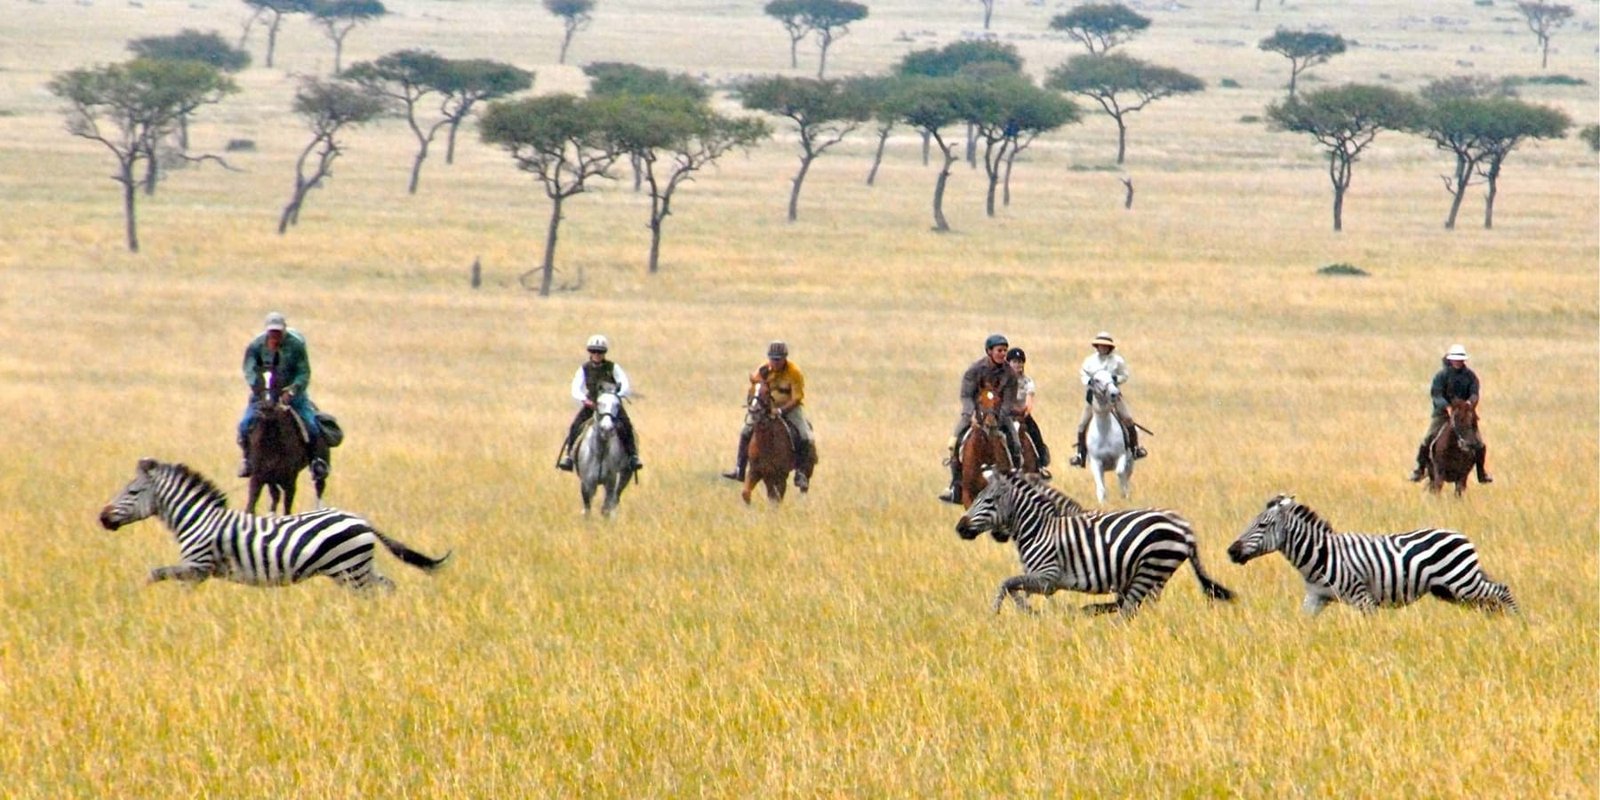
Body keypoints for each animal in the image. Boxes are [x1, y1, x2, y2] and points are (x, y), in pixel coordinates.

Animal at [98, 458, 451, 592]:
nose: (102, 518)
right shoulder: (200, 571)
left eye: (132, 492)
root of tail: (361, 520)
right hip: (358, 566)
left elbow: (156, 573)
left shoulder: (198, 565)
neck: (198, 519)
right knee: (387, 586)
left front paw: (142, 597)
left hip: (349, 569)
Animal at [955, 470, 1236, 616]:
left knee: (1128, 610)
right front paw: (1029, 611)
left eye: (988, 501)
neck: (1038, 529)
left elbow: (1006, 584)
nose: (960, 528)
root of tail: (1184, 528)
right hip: (1156, 575)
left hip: (1151, 568)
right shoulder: (1038, 579)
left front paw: (996, 614)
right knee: (1140, 607)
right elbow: (1014, 588)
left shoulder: (1048, 578)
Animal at [1227, 494, 1518, 615]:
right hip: (1450, 589)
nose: (1231, 551)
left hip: (1461, 581)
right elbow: (1303, 621)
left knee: (1501, 591)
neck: (1320, 556)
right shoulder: (1316, 596)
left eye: (1262, 525)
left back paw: (1517, 623)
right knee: (1491, 600)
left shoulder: (1362, 597)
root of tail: (1461, 536)